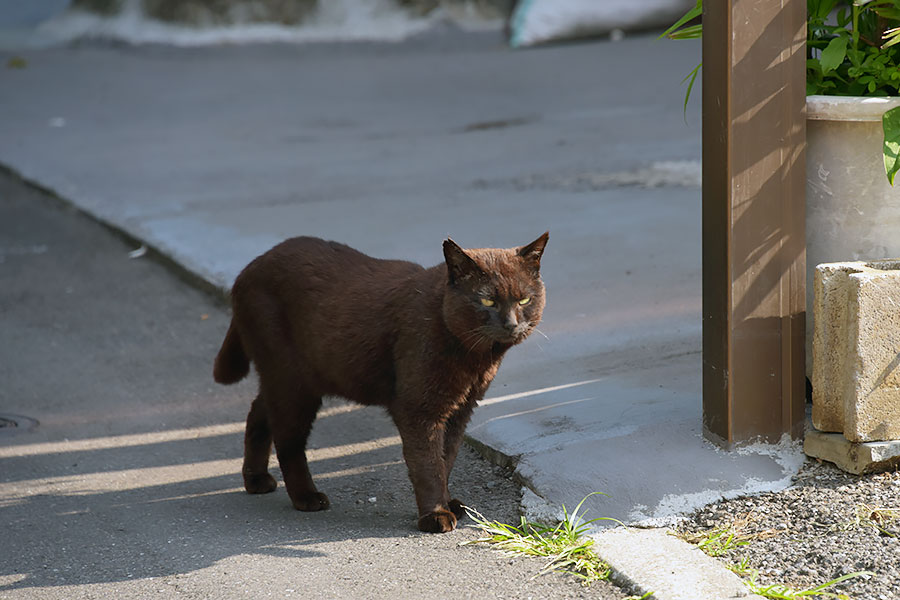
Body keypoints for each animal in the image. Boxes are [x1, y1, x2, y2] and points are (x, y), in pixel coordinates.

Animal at [213, 232, 548, 532]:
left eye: (524, 299)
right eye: (487, 300)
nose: (511, 324)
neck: (475, 360)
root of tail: (251, 267)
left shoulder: (461, 407)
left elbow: (447, 457)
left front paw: (447, 502)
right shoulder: (419, 409)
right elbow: (427, 463)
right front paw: (435, 515)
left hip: (288, 378)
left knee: (259, 412)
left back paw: (255, 479)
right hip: (293, 383)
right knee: (288, 440)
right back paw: (306, 497)